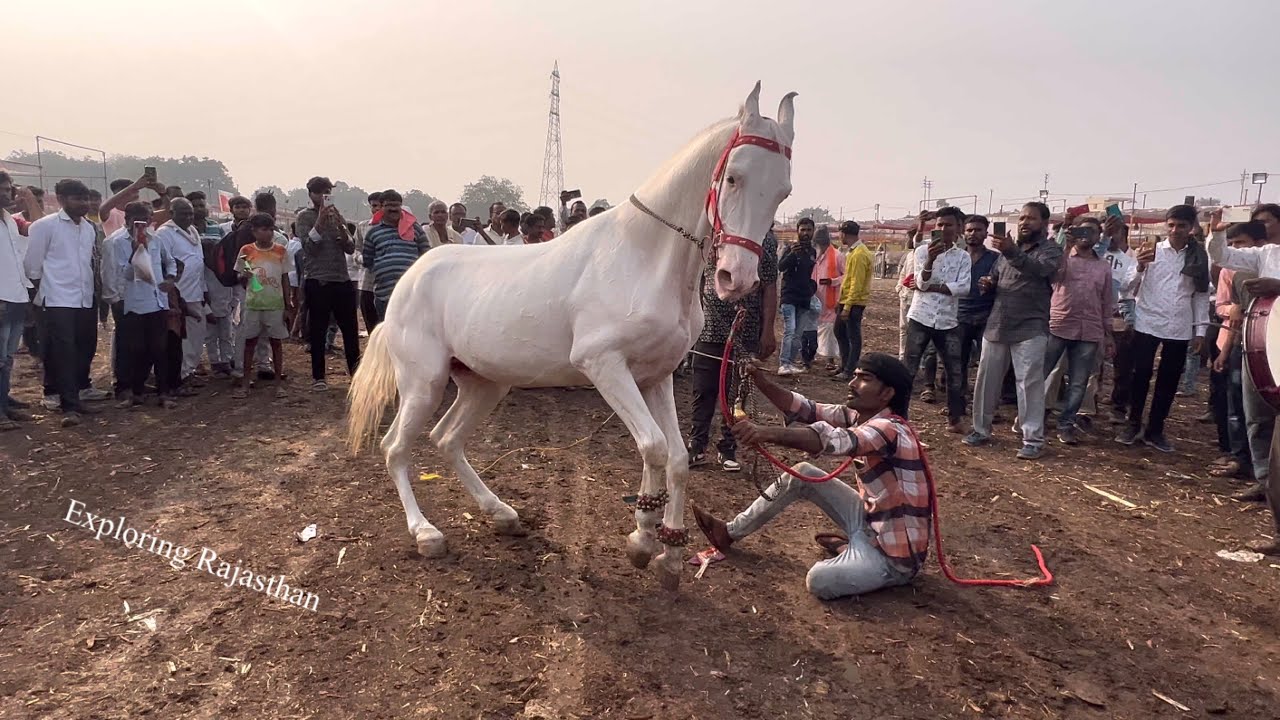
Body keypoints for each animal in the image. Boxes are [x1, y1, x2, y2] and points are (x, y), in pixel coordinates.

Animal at [346, 82, 796, 590]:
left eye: (783, 191)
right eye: (734, 177)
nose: (735, 279)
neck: (645, 259)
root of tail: (405, 285)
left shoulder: (656, 376)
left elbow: (678, 458)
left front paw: (670, 556)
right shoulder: (604, 365)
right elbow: (653, 447)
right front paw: (642, 541)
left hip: (483, 383)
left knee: (446, 439)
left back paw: (502, 514)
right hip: (423, 383)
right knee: (395, 449)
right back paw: (426, 534)